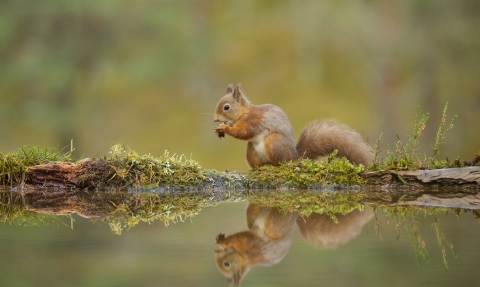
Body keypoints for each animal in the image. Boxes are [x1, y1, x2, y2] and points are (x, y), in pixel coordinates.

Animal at [214, 84, 376, 168]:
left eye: (226, 107)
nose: (215, 119)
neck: (243, 112)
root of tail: (294, 155)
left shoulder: (252, 121)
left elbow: (244, 132)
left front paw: (225, 128)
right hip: (251, 150)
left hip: (274, 142)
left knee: (282, 161)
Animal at [215, 204, 376, 286]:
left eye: (227, 265)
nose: (216, 253)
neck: (244, 259)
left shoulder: (251, 247)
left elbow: (241, 238)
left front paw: (224, 242)